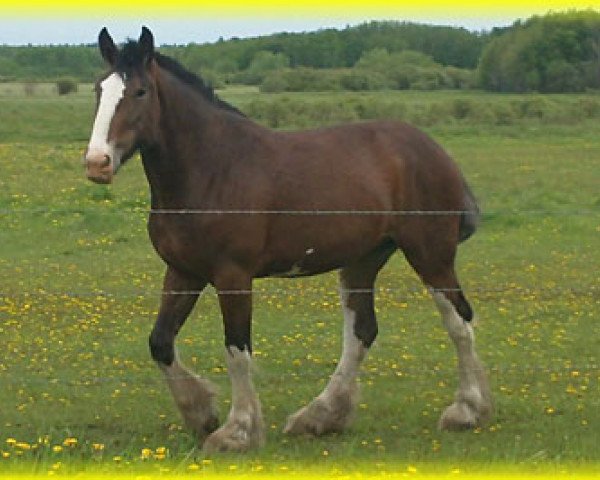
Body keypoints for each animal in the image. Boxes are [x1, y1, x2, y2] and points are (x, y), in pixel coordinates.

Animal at [84, 27, 492, 454]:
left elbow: (236, 349)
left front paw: (237, 431)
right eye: (99, 89)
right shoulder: (183, 271)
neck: (213, 167)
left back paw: (465, 411)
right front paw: (201, 413)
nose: (97, 163)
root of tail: (434, 151)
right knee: (361, 333)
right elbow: (160, 342)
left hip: (431, 255)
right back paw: (320, 417)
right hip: (362, 261)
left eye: (140, 91)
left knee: (459, 322)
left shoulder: (232, 276)